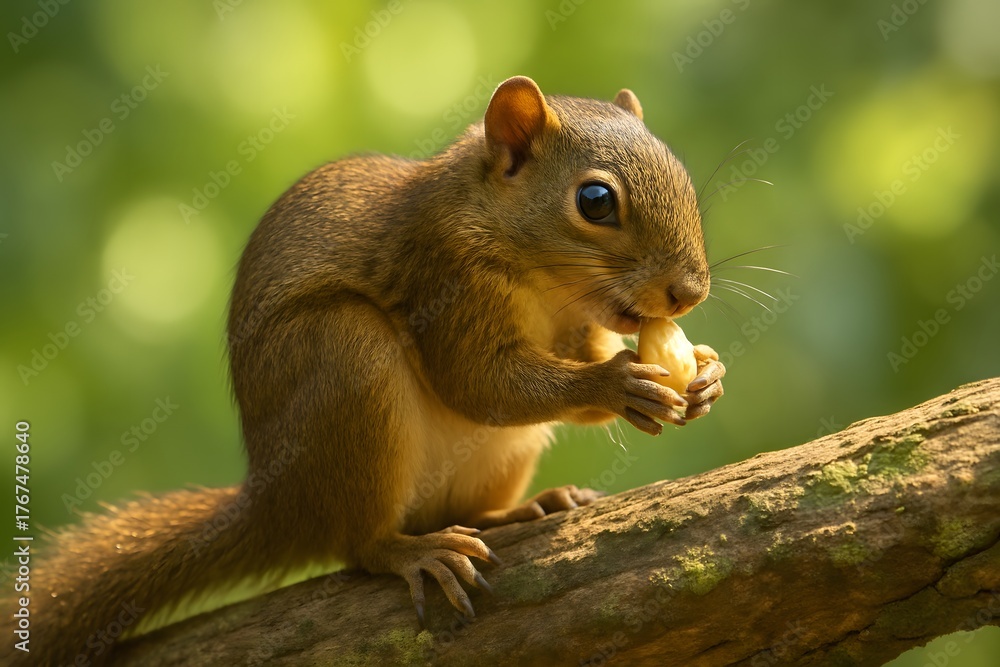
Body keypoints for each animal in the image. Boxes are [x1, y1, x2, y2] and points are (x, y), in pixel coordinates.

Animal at [5, 76, 725, 665]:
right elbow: (478, 382)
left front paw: (705, 375)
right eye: (595, 200)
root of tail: (277, 502)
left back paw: (525, 507)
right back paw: (411, 551)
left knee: (455, 508)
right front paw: (617, 382)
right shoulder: (445, 275)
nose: (689, 293)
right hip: (347, 360)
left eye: (684, 177)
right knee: (360, 542)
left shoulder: (573, 325)